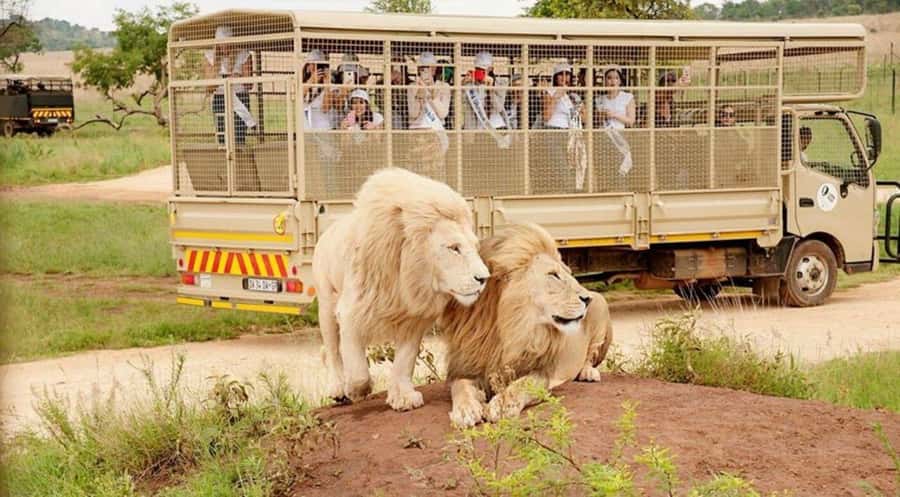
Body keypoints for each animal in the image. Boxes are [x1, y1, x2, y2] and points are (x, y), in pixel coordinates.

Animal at [313, 168, 489, 412]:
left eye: (475, 246)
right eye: (454, 248)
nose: (484, 278)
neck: (407, 278)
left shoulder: (413, 318)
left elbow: (404, 361)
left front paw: (403, 397)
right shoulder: (351, 311)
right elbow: (357, 368)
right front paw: (357, 390)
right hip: (326, 303)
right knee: (332, 350)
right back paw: (338, 387)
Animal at [440, 222, 613, 427]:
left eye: (568, 274)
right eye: (553, 275)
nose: (587, 299)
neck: (511, 328)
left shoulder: (542, 372)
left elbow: (522, 385)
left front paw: (502, 404)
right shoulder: (467, 365)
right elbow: (460, 387)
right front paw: (465, 409)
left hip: (601, 310)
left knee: (590, 356)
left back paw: (588, 372)